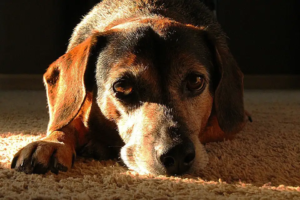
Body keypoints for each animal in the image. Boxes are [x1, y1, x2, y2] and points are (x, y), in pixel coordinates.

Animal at [10, 0, 250, 175]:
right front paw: (52, 143)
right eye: (122, 86)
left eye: (195, 81)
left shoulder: (222, 125)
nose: (179, 155)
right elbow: (68, 121)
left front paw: (97, 143)